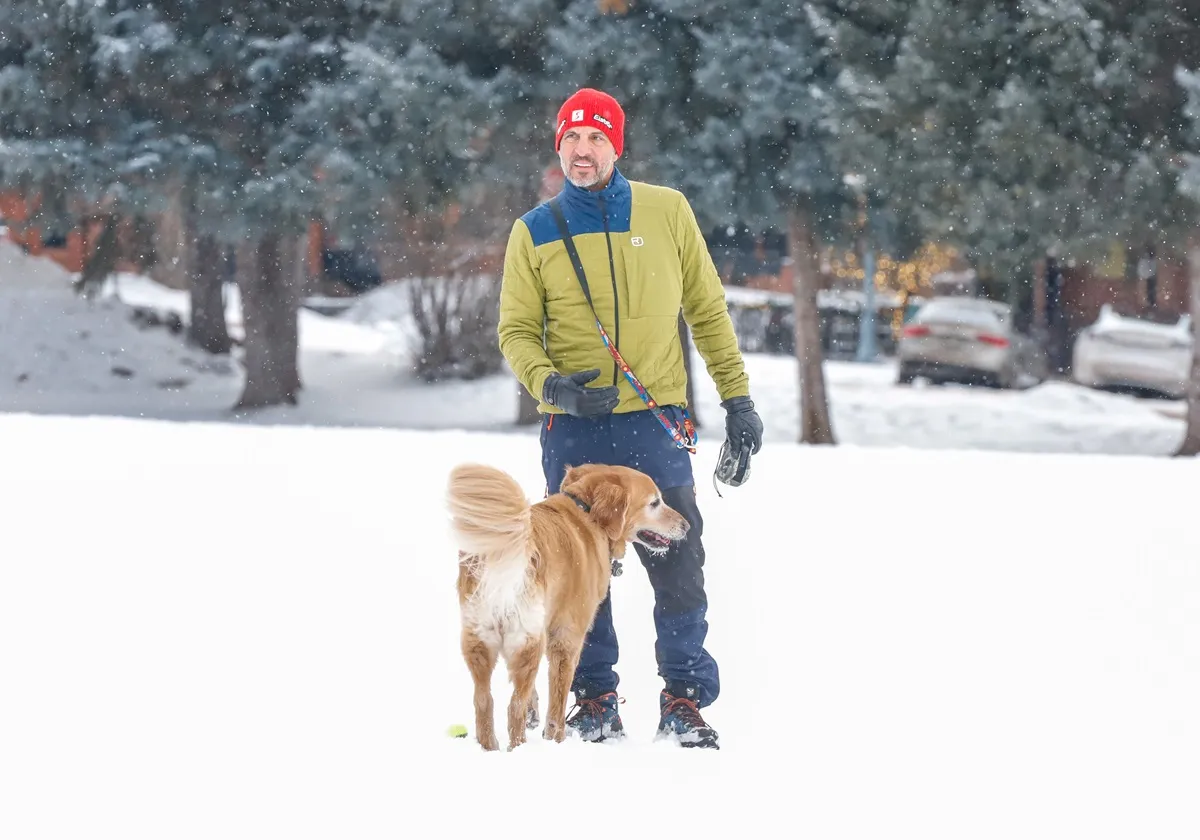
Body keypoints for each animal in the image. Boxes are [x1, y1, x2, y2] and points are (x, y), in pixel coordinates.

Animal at [446, 463, 691, 753]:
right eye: (655, 502)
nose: (686, 526)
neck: (586, 513)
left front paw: (535, 715)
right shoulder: (566, 639)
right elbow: (557, 705)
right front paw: (556, 740)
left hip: (479, 640)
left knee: (484, 701)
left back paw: (490, 748)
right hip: (530, 641)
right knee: (514, 706)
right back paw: (519, 748)